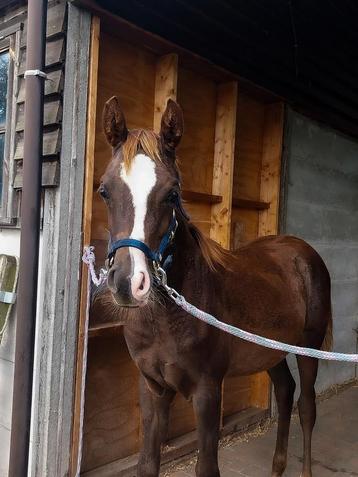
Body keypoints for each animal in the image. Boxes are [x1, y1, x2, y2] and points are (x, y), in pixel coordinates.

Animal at [98, 96, 332, 476]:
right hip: (271, 350)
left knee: (307, 407)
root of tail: (302, 250)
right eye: (104, 190)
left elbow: (207, 466)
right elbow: (147, 464)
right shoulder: (152, 387)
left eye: (172, 193)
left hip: (309, 347)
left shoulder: (208, 391)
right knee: (285, 392)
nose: (128, 283)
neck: (167, 319)